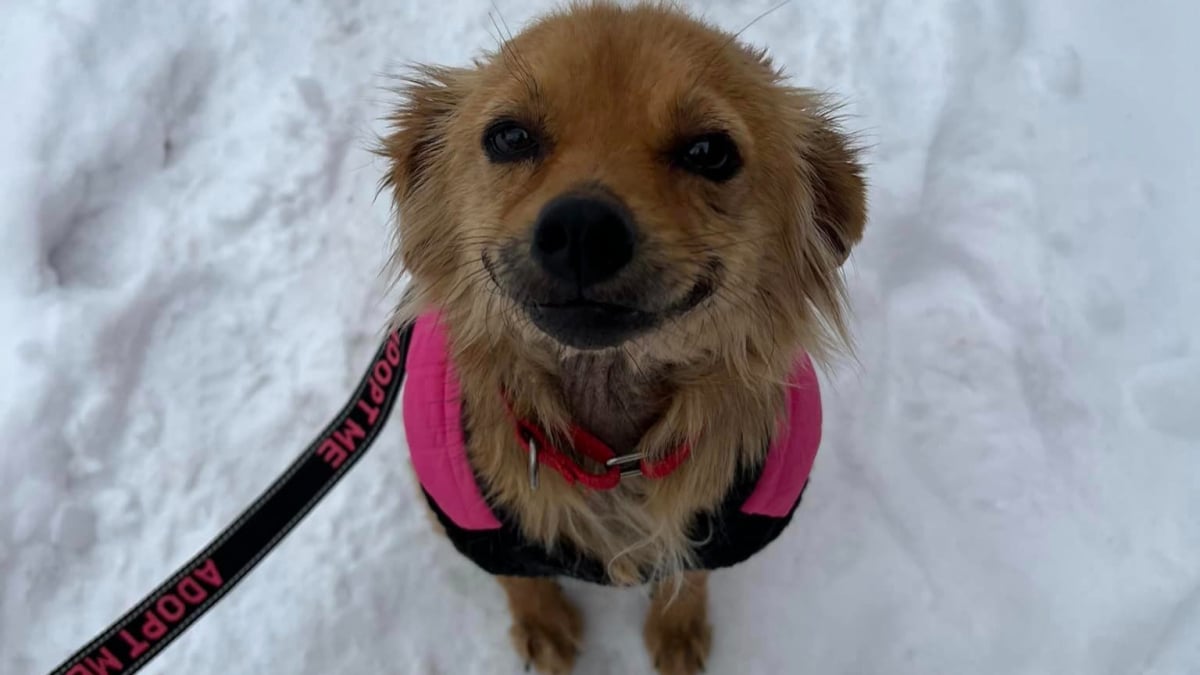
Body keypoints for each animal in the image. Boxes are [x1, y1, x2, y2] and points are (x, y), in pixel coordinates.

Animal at [381, 2, 864, 667]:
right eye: (509, 137)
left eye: (710, 150)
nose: (583, 229)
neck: (614, 456)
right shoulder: (472, 521)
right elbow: (519, 577)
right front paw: (543, 623)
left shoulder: (720, 526)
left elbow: (687, 570)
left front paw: (677, 629)